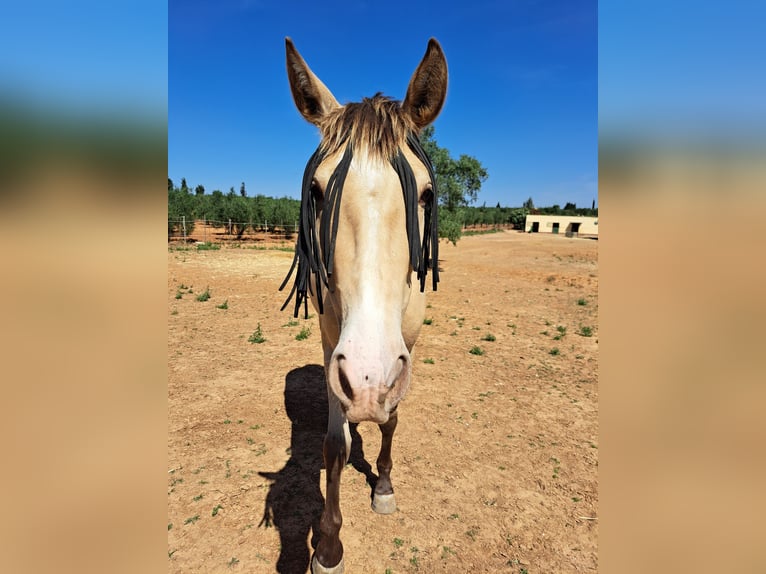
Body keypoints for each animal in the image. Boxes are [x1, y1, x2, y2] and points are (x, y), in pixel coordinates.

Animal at [280, 38, 450, 572]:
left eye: (426, 194)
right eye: (317, 192)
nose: (370, 378)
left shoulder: (405, 348)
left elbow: (391, 420)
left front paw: (384, 487)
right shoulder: (333, 347)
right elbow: (335, 445)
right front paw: (328, 546)